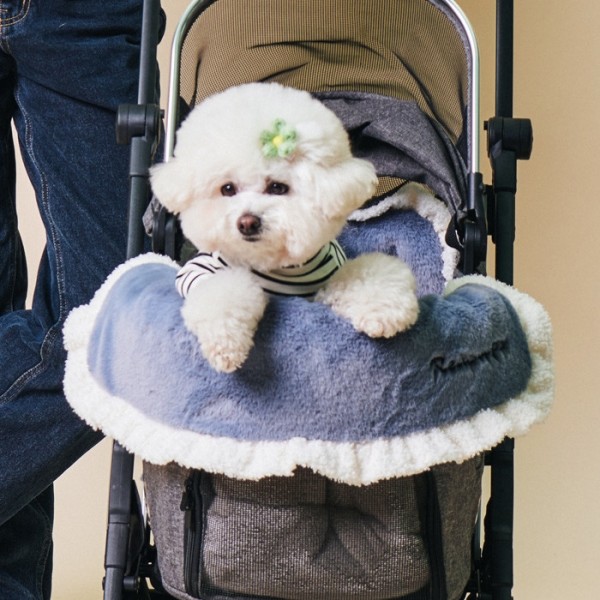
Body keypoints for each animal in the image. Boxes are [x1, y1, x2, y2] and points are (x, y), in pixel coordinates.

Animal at [151, 82, 418, 372]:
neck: (275, 265)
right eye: (227, 189)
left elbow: (366, 274)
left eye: (278, 187)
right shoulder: (198, 271)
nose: (247, 222)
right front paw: (226, 341)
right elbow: (222, 290)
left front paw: (382, 311)